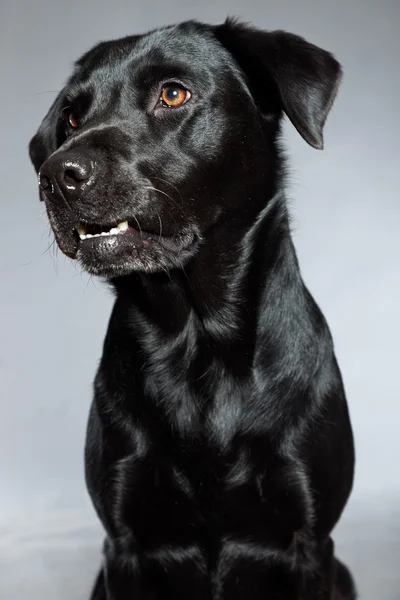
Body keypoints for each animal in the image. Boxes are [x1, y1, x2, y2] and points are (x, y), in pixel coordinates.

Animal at [30, 16, 356, 596]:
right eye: (71, 116)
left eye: (173, 94)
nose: (55, 177)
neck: (197, 340)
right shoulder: (125, 544)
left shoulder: (311, 543)